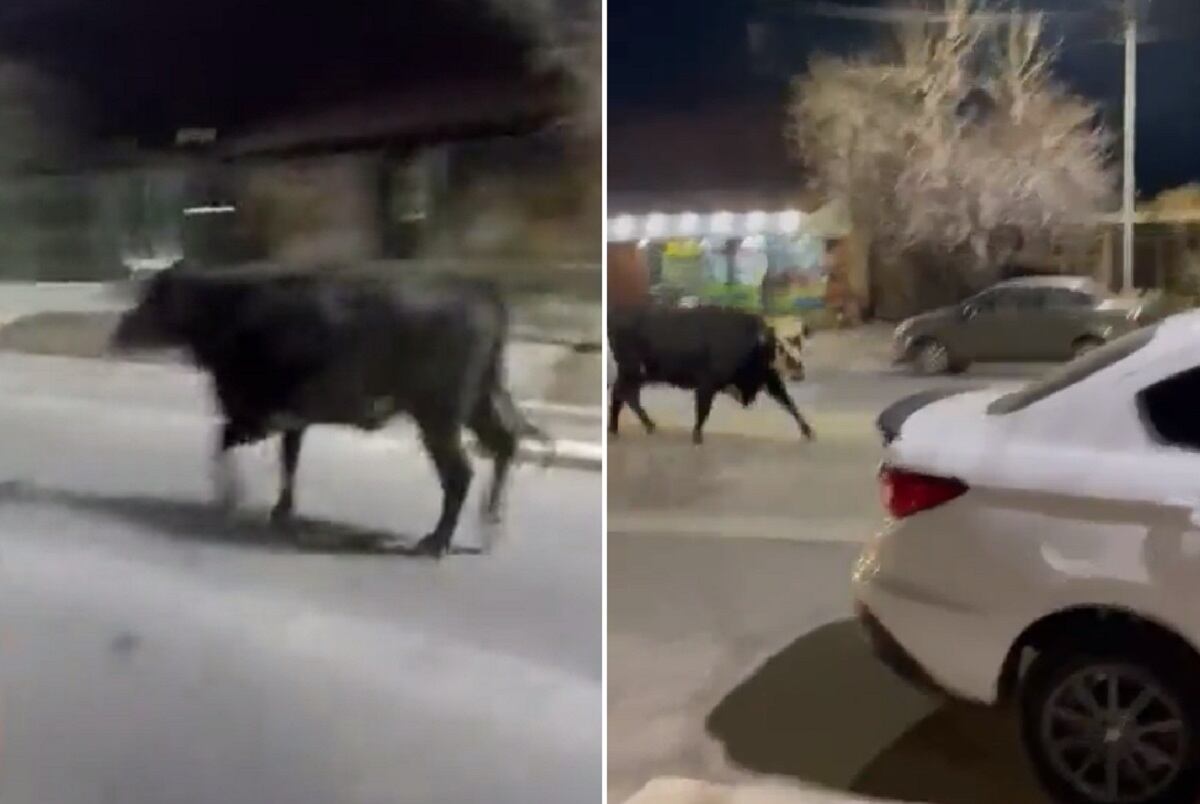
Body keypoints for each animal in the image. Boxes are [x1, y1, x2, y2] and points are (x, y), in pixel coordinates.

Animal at [110, 267, 549, 556]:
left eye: (153, 298)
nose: (118, 331)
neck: (228, 314)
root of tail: (480, 291)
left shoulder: (257, 411)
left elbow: (222, 442)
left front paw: (230, 500)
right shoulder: (291, 418)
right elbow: (287, 460)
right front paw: (279, 510)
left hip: (438, 411)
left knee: (460, 472)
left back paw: (437, 541)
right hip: (480, 399)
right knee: (505, 442)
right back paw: (489, 527)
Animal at [609, 307, 816, 446]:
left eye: (798, 340)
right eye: (778, 345)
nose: (799, 369)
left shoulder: (769, 379)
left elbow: (789, 403)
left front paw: (808, 431)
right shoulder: (707, 384)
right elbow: (703, 410)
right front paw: (697, 435)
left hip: (637, 374)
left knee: (626, 395)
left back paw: (642, 425)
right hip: (632, 371)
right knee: (621, 394)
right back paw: (619, 428)